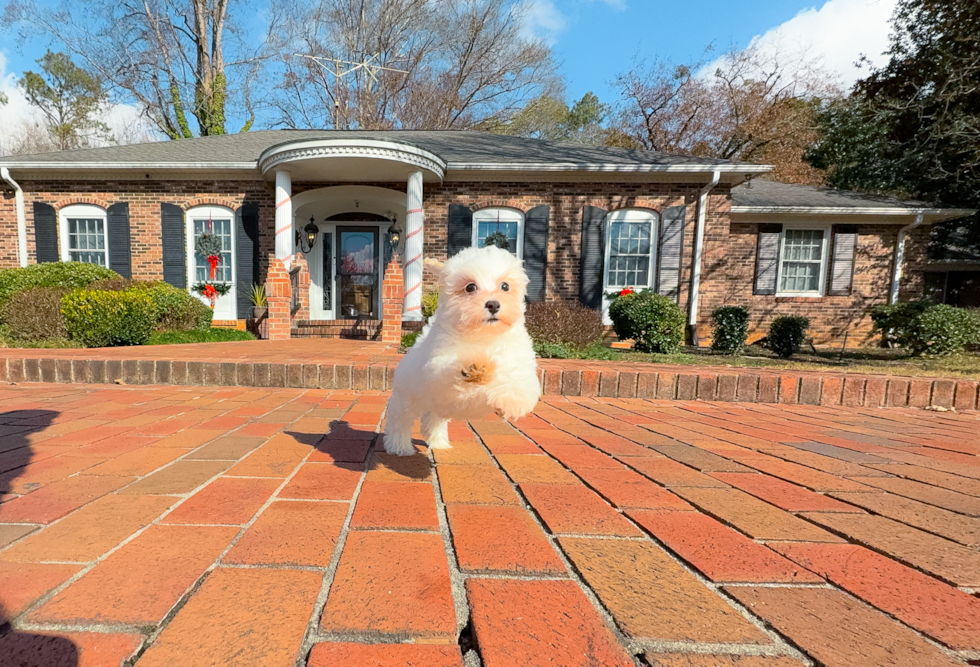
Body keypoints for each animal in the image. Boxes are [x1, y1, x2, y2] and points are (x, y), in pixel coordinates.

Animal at [382, 248, 540, 456]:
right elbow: (449, 371)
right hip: (408, 397)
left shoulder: (519, 359)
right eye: (470, 287)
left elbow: (519, 382)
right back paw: (399, 446)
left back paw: (438, 441)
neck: (484, 336)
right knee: (400, 420)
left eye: (505, 286)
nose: (493, 304)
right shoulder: (438, 367)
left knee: (433, 420)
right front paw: (474, 368)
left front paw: (512, 401)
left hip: (438, 406)